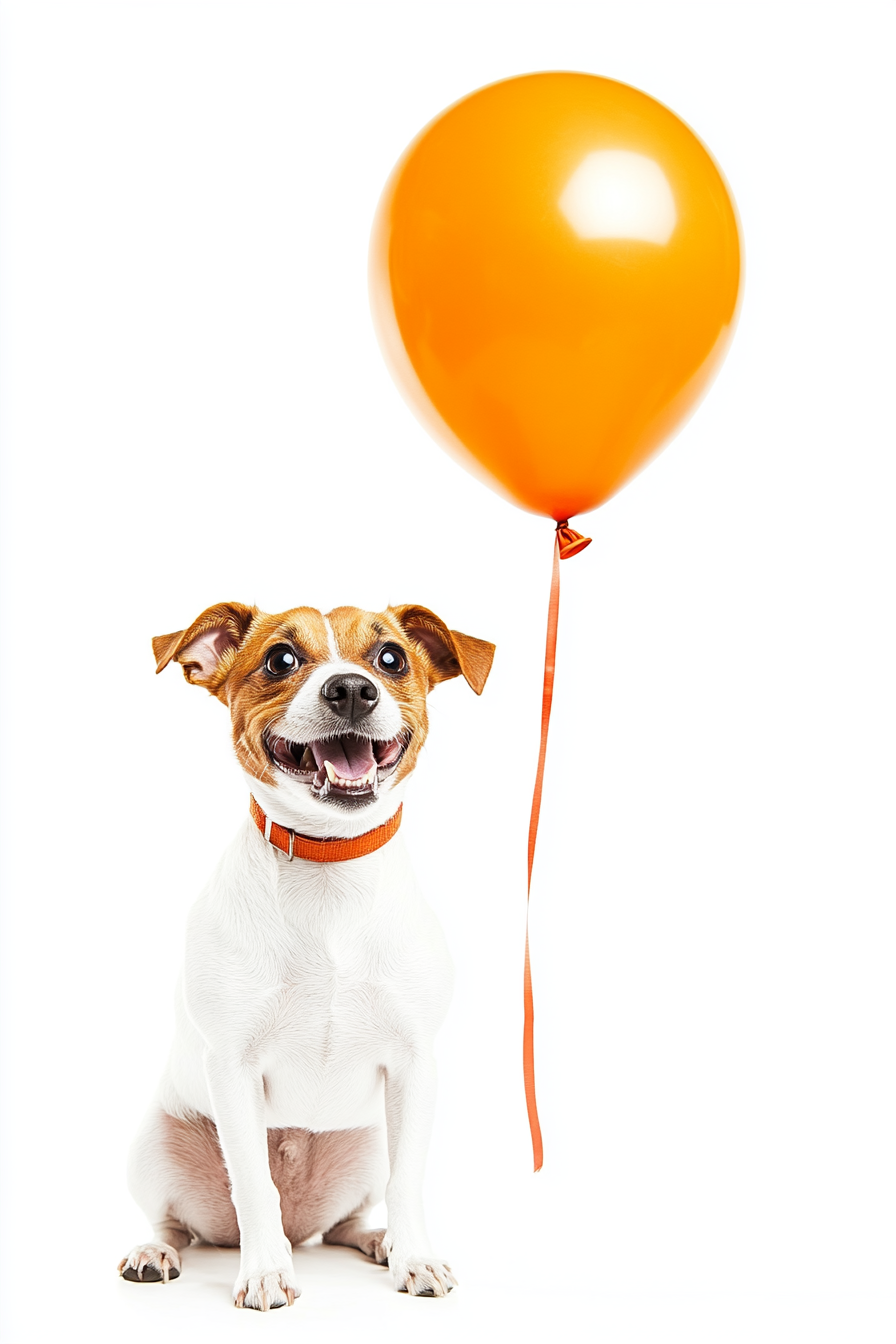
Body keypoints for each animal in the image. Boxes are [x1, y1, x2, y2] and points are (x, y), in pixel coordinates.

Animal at [115, 602, 494, 1311]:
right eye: (281, 659)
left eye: (391, 658)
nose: (351, 690)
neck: (329, 862)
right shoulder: (232, 1068)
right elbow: (253, 1183)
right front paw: (266, 1272)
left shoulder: (414, 1067)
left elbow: (407, 1182)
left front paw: (415, 1258)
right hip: (156, 1144)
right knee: (176, 1222)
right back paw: (157, 1252)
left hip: (366, 1143)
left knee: (346, 1221)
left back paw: (379, 1240)